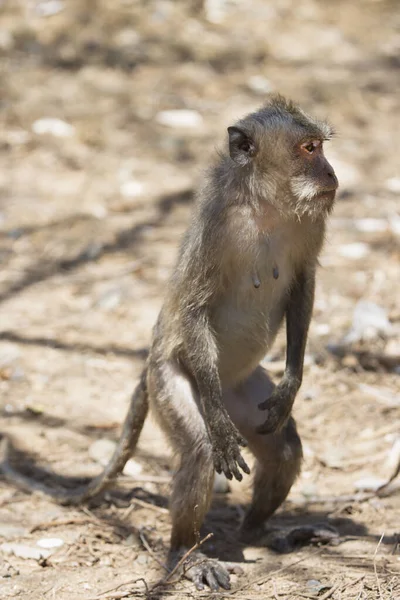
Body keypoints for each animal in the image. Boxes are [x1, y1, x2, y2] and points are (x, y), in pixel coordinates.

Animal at [0, 95, 340, 592]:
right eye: (308, 148)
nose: (331, 174)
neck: (264, 205)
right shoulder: (218, 227)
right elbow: (195, 308)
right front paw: (217, 425)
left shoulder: (310, 222)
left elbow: (302, 286)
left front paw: (292, 383)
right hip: (170, 378)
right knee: (198, 449)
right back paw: (186, 553)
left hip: (243, 392)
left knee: (283, 450)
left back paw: (258, 532)